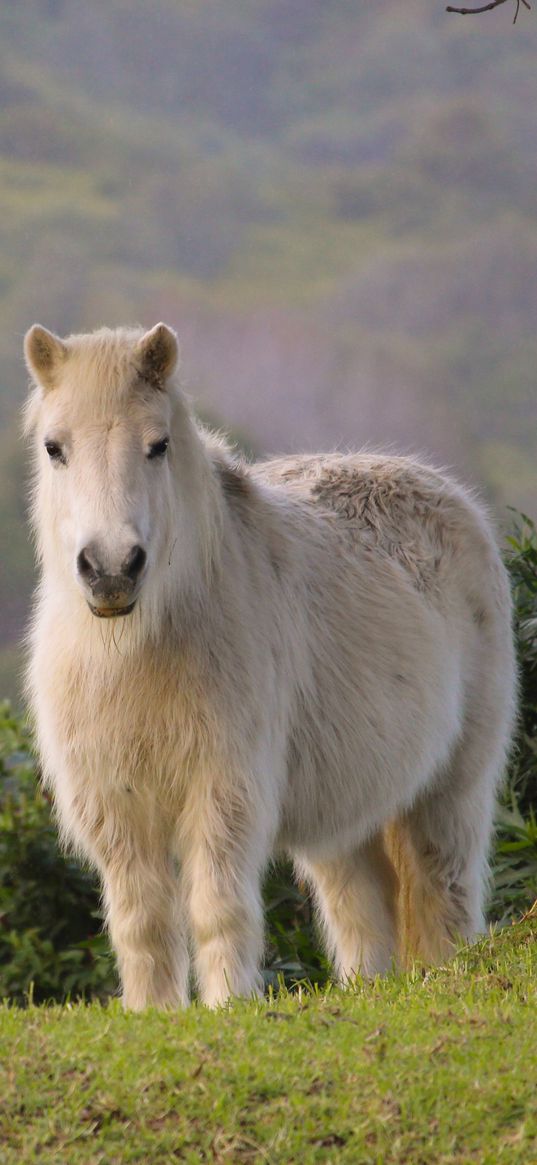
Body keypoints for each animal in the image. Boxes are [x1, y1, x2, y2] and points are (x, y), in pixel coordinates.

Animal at [24, 326, 514, 1011]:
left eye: (158, 445)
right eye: (54, 448)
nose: (113, 569)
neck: (138, 650)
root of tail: (449, 495)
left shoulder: (224, 790)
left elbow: (217, 907)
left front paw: (228, 1006)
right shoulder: (115, 807)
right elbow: (141, 923)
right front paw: (155, 1013)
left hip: (450, 793)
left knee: (446, 893)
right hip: (346, 822)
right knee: (362, 914)